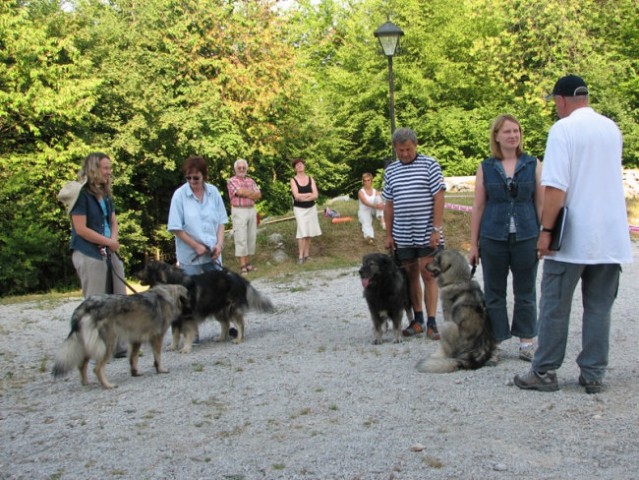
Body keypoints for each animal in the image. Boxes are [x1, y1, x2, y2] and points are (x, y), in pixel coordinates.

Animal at [52, 284, 188, 388]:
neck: (167, 296)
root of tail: (84, 307)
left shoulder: (135, 340)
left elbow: (133, 358)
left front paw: (135, 372)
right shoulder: (157, 337)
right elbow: (157, 357)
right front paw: (161, 369)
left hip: (89, 345)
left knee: (81, 365)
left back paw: (86, 383)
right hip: (107, 344)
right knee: (97, 368)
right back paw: (107, 385)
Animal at [136, 260, 274, 350]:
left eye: (146, 268)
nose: (134, 273)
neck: (171, 283)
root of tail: (238, 276)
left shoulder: (188, 317)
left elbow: (187, 333)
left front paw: (186, 348)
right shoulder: (175, 319)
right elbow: (175, 334)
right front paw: (173, 346)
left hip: (231, 308)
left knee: (240, 324)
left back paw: (239, 338)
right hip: (218, 309)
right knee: (225, 324)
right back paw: (221, 337)